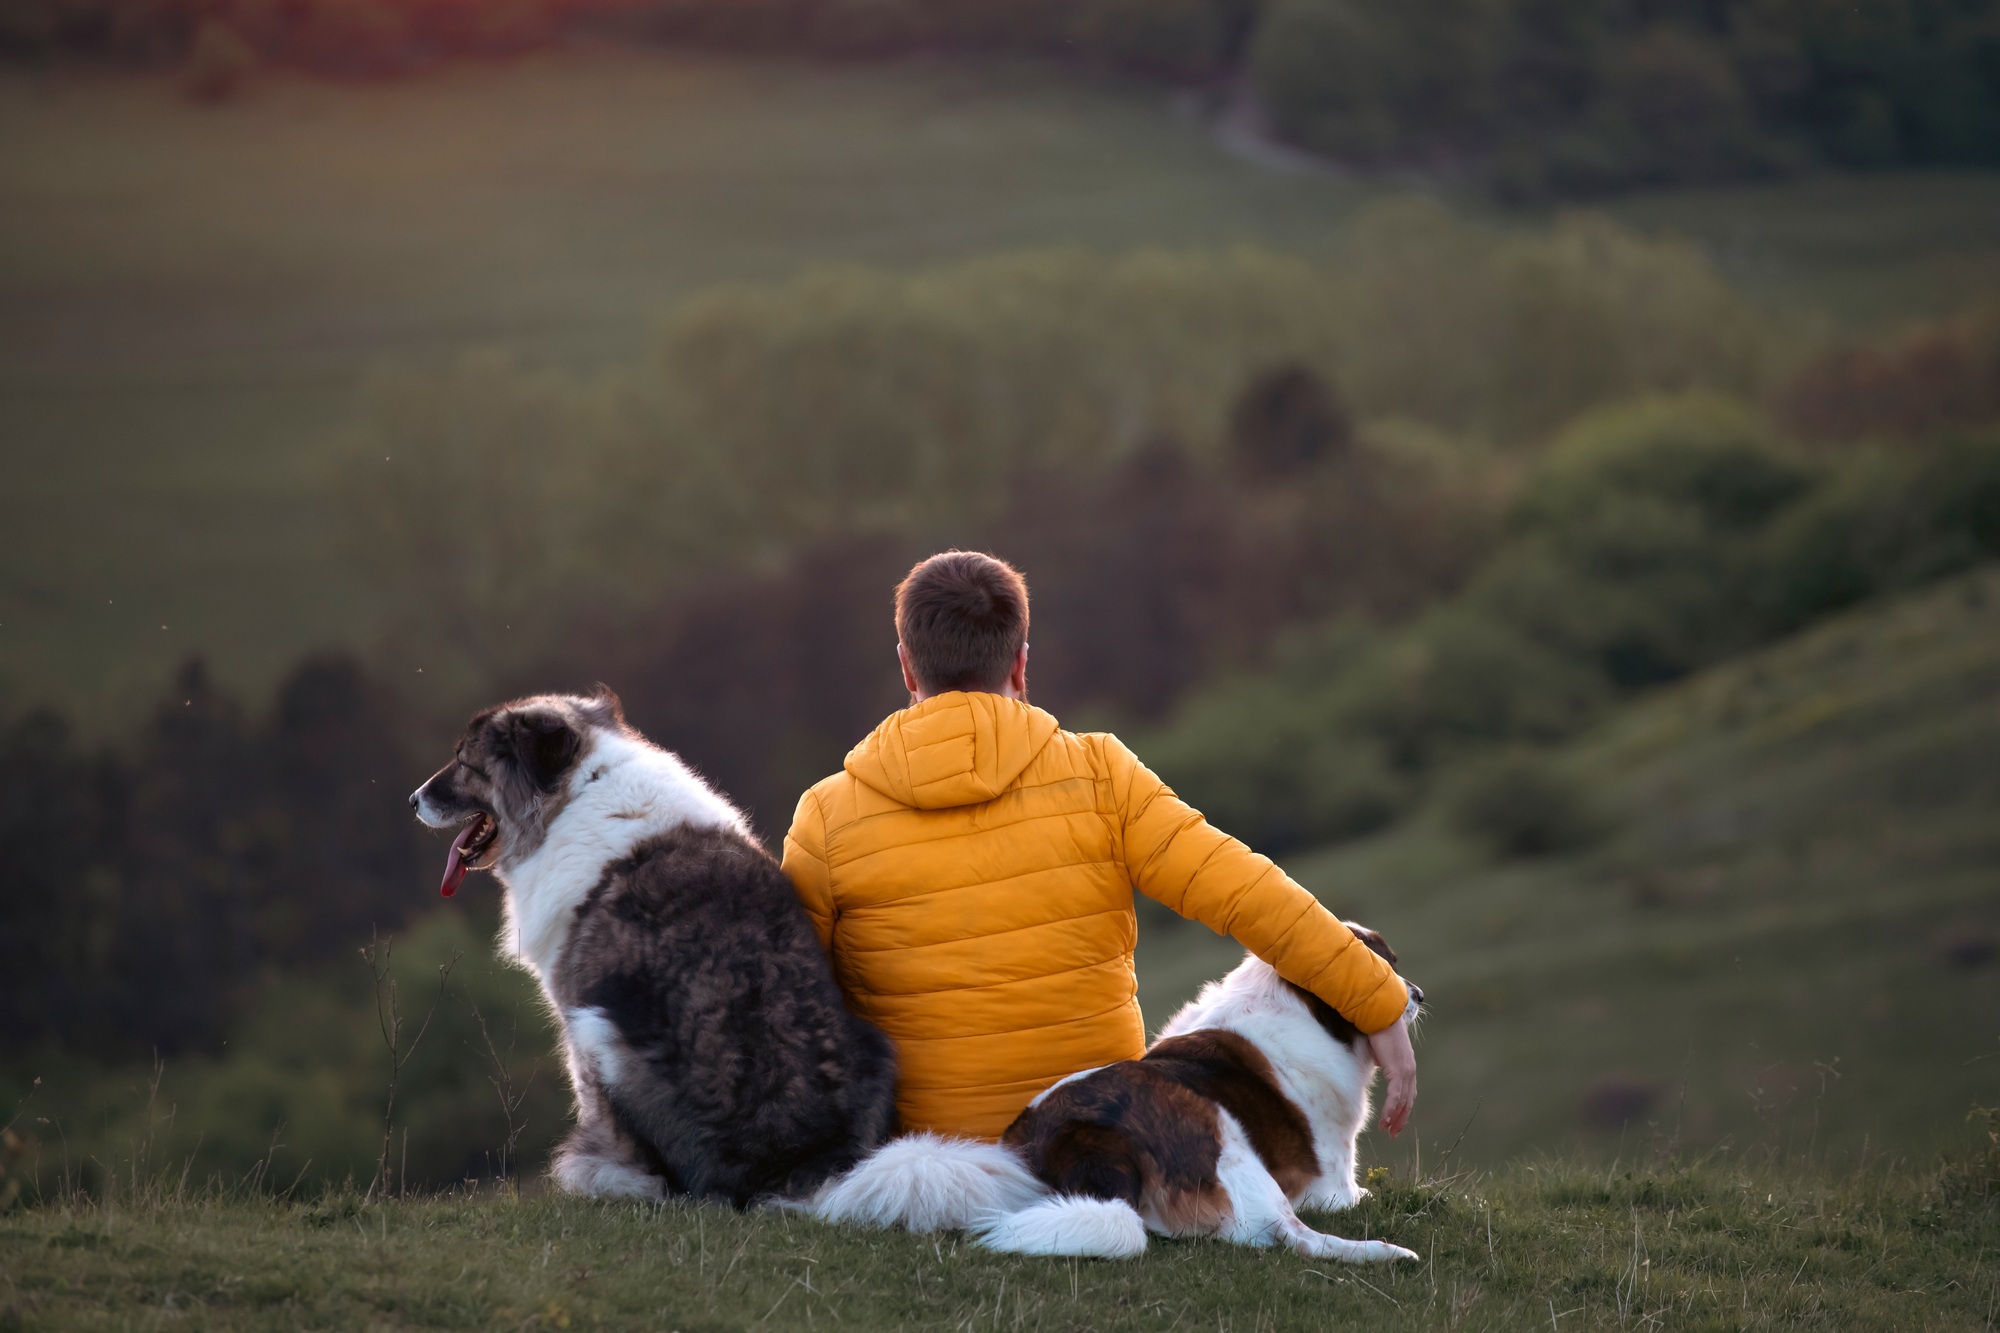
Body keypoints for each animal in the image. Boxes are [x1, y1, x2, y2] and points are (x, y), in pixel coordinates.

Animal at [410, 684, 896, 1200]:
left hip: (603, 1026)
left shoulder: (576, 1017)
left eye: (465, 762)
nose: (412, 800)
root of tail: (803, 1163)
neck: (579, 791)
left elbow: (591, 1100)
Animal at [812, 924, 1424, 1256]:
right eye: (1386, 967)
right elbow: (1351, 1197)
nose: (1416, 995)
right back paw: (1392, 1253)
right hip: (1215, 1132)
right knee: (1289, 1233)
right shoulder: (1332, 1187)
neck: (1298, 1006)